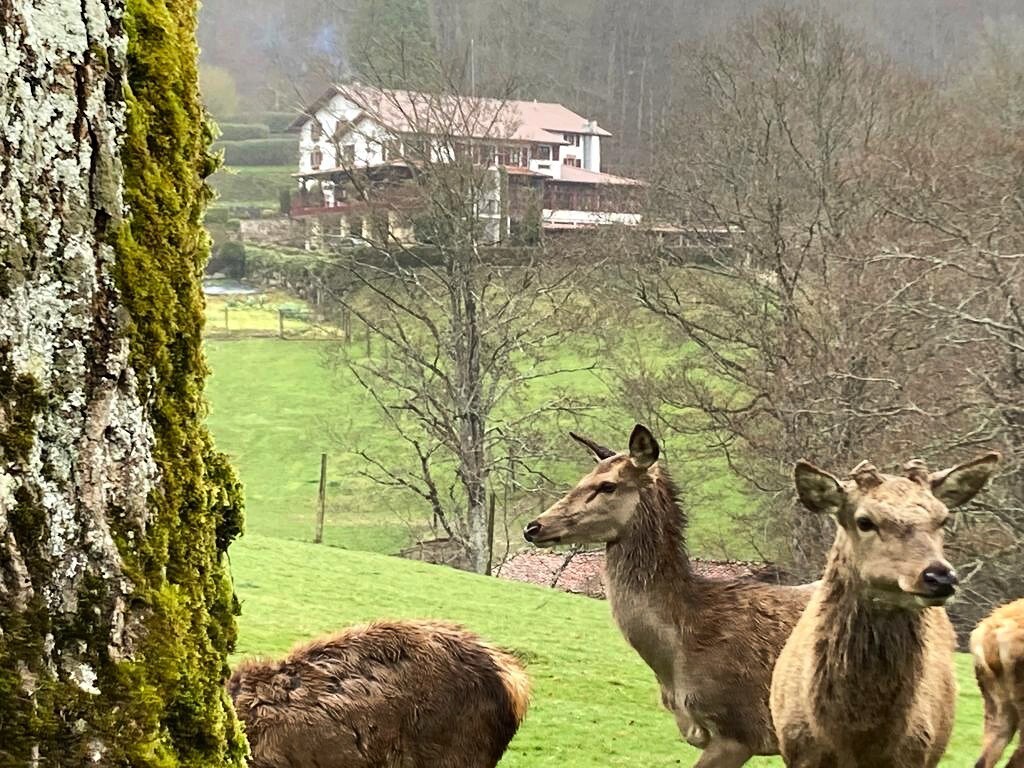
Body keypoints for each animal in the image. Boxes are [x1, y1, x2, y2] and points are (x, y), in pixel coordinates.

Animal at [770, 450, 995, 768]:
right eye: (864, 521)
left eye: (943, 518)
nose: (939, 577)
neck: (858, 739)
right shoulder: (799, 752)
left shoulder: (915, 754)